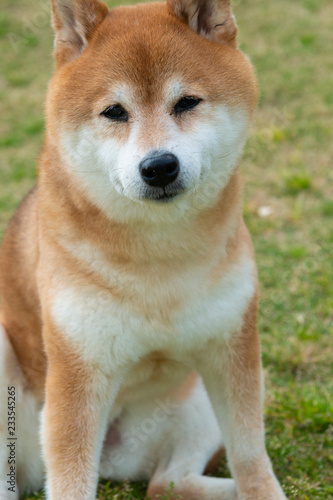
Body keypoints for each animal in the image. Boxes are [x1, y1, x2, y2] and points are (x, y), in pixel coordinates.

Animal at [0, 0, 286, 498]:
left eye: (187, 102)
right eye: (114, 112)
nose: (159, 166)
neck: (158, 258)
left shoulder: (233, 348)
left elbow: (251, 457)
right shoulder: (78, 375)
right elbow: (71, 481)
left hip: (195, 398)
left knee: (165, 483)